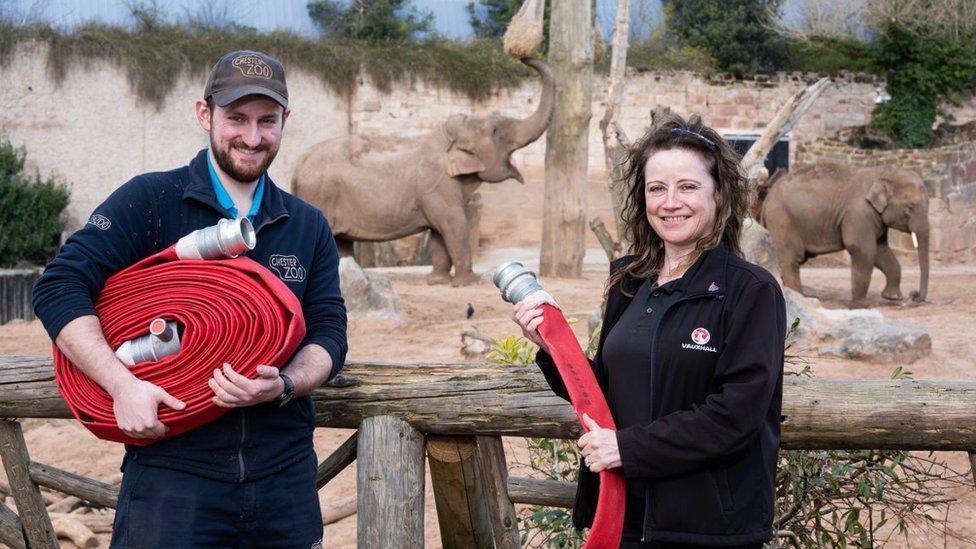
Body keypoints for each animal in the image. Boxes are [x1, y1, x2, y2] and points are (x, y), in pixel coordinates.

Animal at [294, 57, 552, 284]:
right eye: (497, 131)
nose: (522, 57)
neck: (448, 137)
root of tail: (298, 164)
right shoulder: (437, 187)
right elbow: (454, 225)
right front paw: (470, 282)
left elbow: (438, 232)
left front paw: (438, 281)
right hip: (320, 196)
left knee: (342, 243)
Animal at [764, 162, 932, 308]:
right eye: (910, 207)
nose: (913, 295)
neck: (882, 173)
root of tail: (768, 196)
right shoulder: (859, 212)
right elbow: (863, 249)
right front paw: (861, 306)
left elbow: (881, 250)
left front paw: (892, 297)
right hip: (781, 220)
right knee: (790, 259)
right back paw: (800, 299)